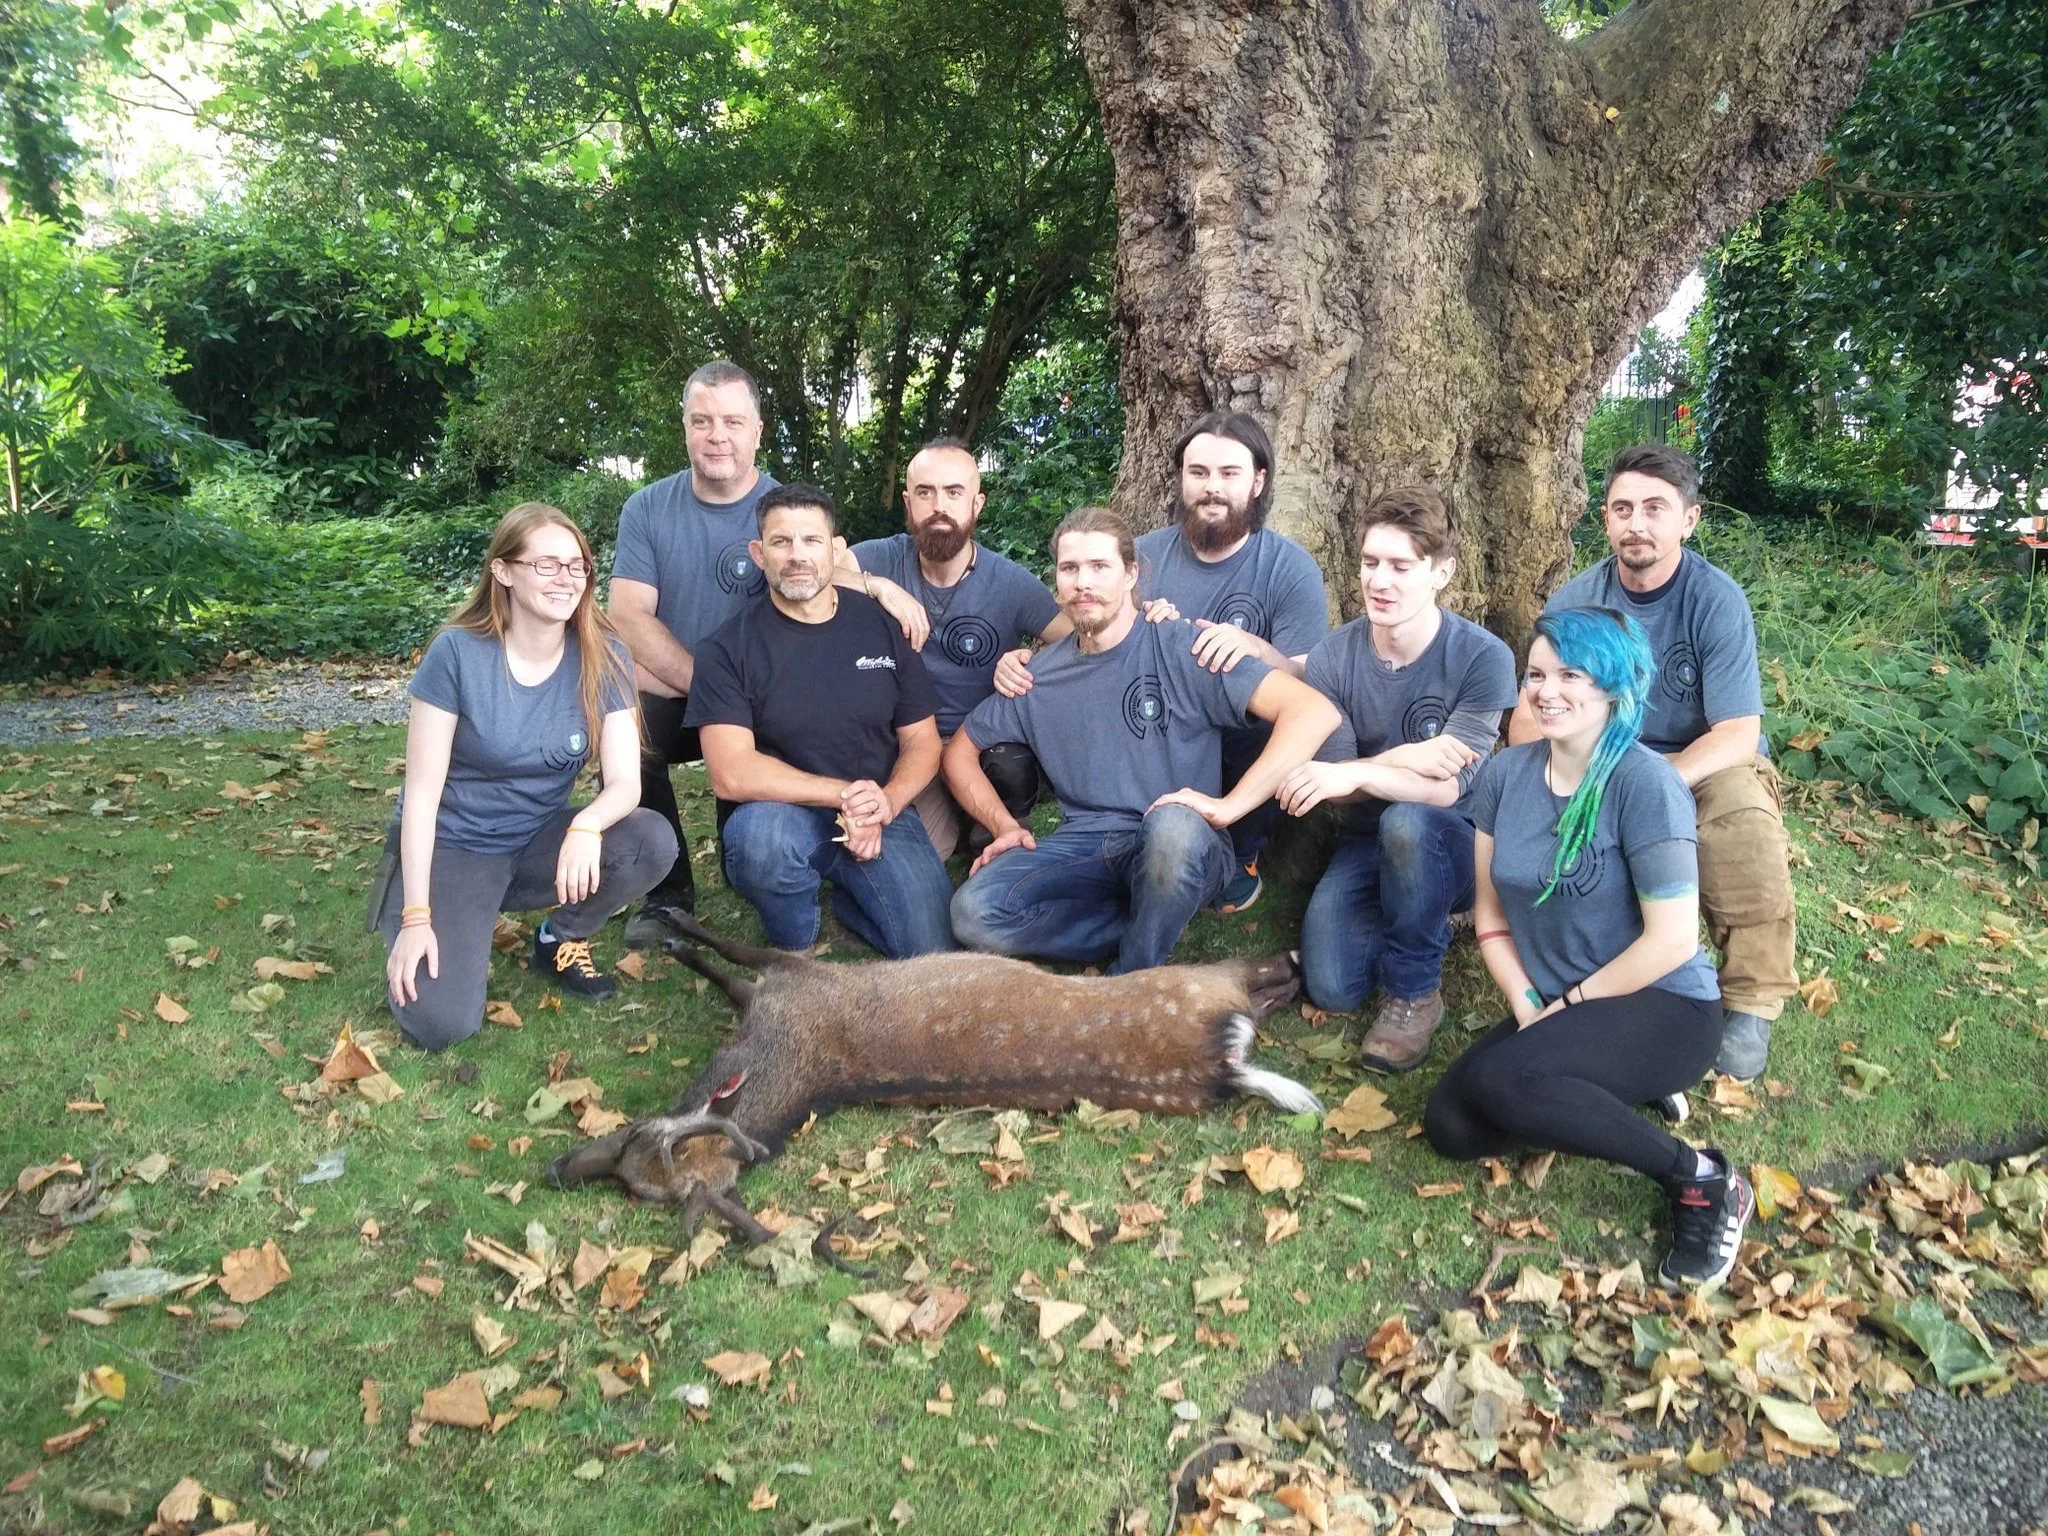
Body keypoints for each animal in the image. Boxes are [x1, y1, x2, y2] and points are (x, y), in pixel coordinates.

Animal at [546, 913, 1321, 1272]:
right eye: (630, 1181)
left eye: (632, 1138)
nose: (555, 1169)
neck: (785, 1060)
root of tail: (1222, 1066)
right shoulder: (790, 986)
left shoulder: (796, 976)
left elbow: (729, 954)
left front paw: (672, 930)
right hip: (1204, 984)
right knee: (1268, 982)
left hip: (1198, 976)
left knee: (1268, 971)